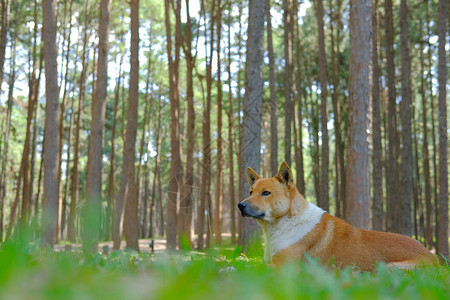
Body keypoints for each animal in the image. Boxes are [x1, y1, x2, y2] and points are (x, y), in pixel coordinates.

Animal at [237, 163, 438, 270]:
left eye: (266, 193)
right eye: (250, 192)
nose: (240, 205)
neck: (287, 220)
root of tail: (433, 256)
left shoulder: (281, 267)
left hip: (389, 267)